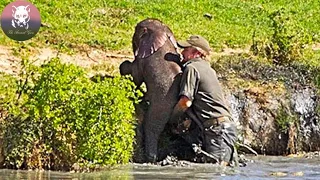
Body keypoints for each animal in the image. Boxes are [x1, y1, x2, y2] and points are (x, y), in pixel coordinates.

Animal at [119, 17, 182, 162]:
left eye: (135, 30)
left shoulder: (144, 59)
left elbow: (135, 75)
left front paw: (123, 66)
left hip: (162, 101)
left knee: (151, 123)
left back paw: (151, 158)